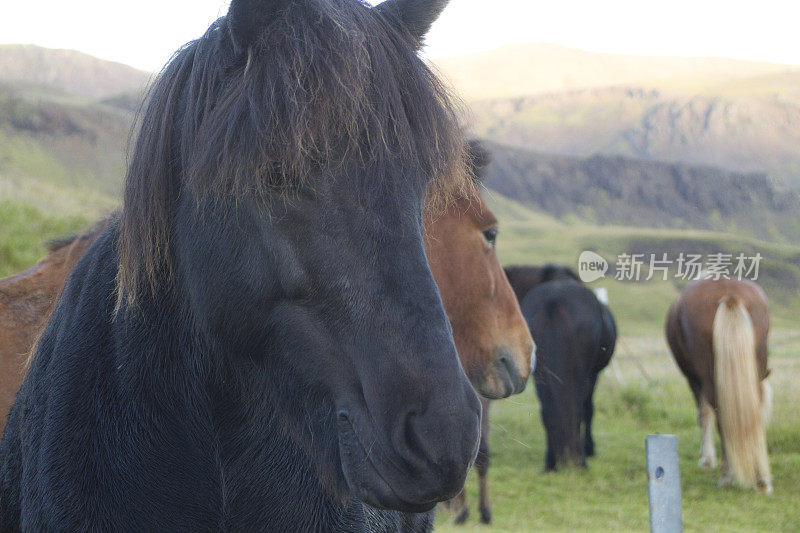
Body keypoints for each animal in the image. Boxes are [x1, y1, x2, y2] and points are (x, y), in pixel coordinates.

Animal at [520, 276, 620, 468]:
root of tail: (554, 300)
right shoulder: (592, 375)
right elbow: (588, 409)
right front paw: (589, 448)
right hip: (581, 375)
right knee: (577, 410)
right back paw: (579, 460)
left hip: (540, 375)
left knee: (548, 411)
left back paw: (551, 462)